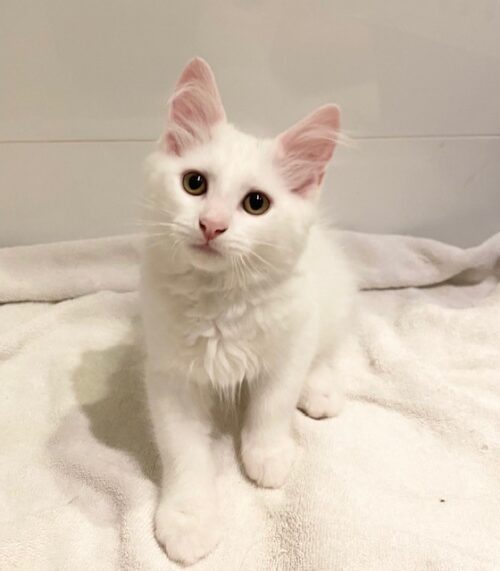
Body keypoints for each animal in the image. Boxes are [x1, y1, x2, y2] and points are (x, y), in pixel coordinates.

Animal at [140, 57, 356, 565]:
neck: (219, 298)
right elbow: (184, 453)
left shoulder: (290, 345)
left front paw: (267, 455)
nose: (211, 225)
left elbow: (271, 406)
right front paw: (188, 520)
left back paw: (320, 391)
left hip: (331, 304)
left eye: (256, 203)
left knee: (329, 351)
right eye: (194, 183)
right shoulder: (169, 377)